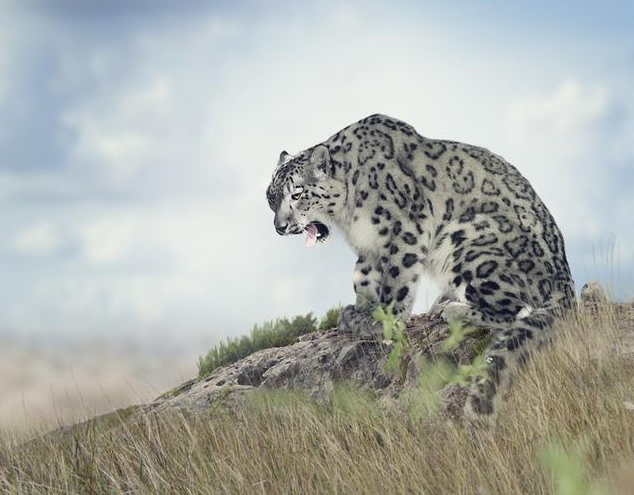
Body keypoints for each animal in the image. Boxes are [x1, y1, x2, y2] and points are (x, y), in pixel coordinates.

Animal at [264, 114, 576, 420]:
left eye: (297, 195)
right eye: (271, 198)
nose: (280, 227)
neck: (346, 217)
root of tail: (564, 279)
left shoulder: (404, 228)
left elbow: (396, 280)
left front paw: (384, 322)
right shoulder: (370, 246)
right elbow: (362, 277)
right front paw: (359, 312)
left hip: (466, 242)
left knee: (518, 309)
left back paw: (452, 309)